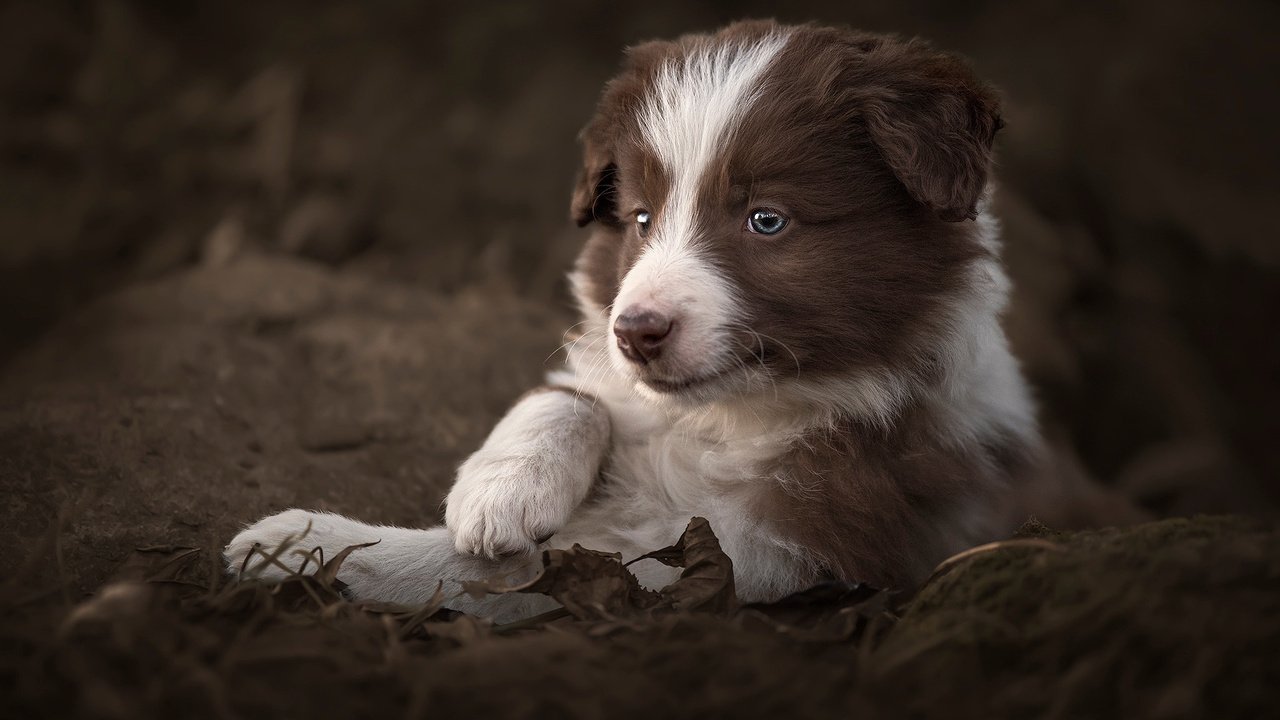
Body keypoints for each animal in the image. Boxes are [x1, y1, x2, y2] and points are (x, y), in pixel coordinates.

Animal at [227, 19, 1039, 620]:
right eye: (642, 219)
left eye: (767, 220)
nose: (637, 333)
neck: (725, 416)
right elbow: (571, 395)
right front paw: (500, 490)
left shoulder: (769, 544)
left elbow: (523, 573)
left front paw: (299, 545)